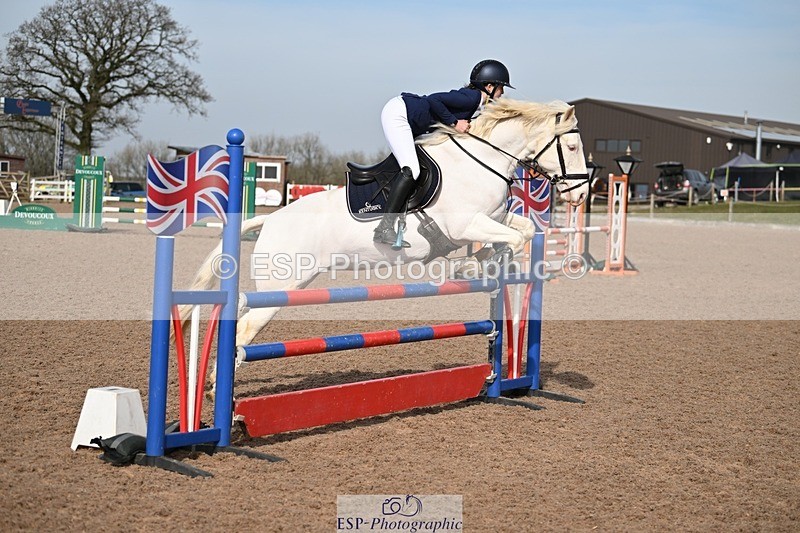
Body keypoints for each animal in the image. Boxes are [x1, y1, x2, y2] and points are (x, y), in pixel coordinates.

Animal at [185, 98, 589, 356]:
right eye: (571, 147)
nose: (582, 193)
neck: (481, 160)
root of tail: (270, 219)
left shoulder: (491, 218)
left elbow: (523, 230)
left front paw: (479, 264)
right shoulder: (467, 224)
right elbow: (513, 237)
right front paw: (472, 265)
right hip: (278, 287)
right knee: (244, 328)